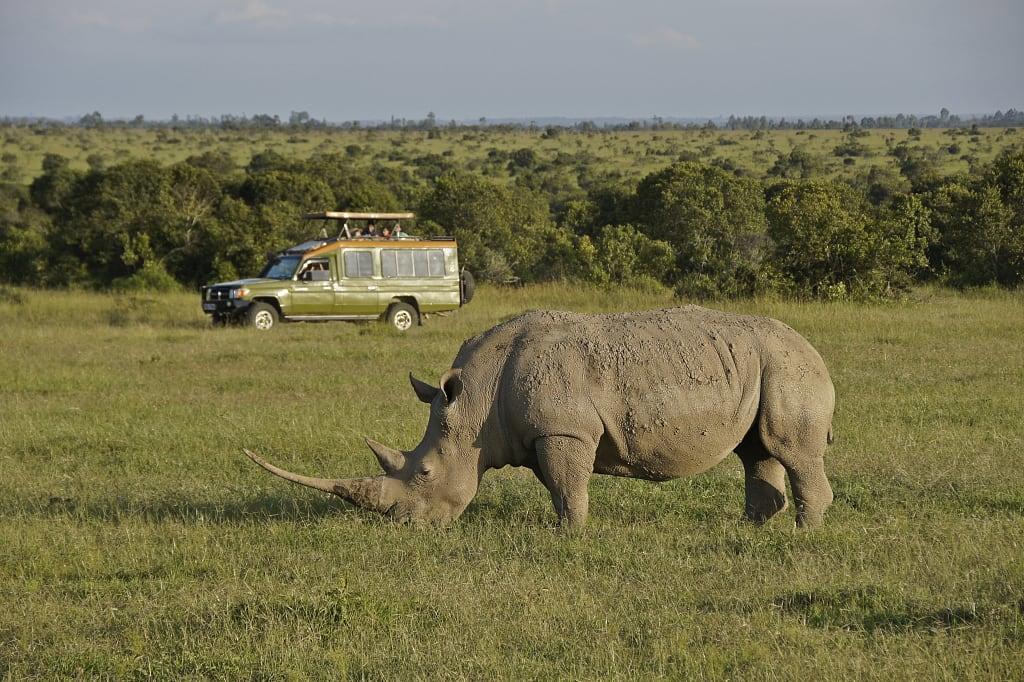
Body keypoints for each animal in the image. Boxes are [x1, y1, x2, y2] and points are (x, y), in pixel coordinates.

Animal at [245, 305, 836, 529]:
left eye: (425, 473)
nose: (408, 526)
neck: (475, 402)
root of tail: (816, 352)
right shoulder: (542, 433)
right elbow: (558, 484)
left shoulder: (564, 429)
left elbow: (566, 486)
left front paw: (569, 537)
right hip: (762, 365)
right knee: (757, 450)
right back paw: (754, 529)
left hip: (788, 368)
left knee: (789, 449)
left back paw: (802, 534)